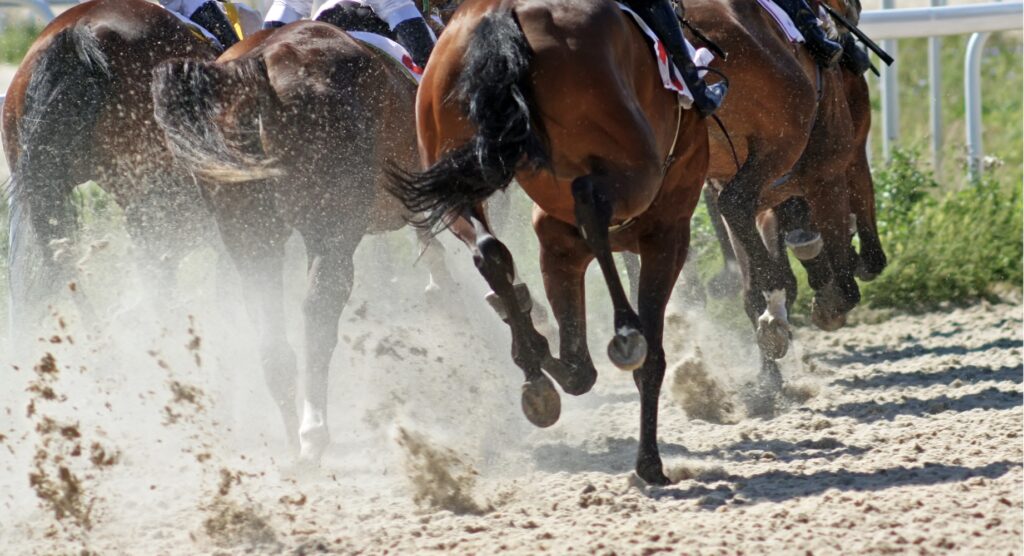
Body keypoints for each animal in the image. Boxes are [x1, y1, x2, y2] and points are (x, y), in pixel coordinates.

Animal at [149, 20, 454, 460]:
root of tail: (255, 71)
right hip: (331, 230)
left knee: (268, 322)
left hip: (250, 235)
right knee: (318, 310)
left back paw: (293, 436)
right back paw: (313, 431)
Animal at [391, 0, 712, 483]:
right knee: (590, 201)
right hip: (635, 168)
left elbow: (579, 369)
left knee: (489, 249)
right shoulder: (668, 232)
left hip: (452, 166)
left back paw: (530, 358)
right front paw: (650, 463)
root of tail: (498, 13)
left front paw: (532, 345)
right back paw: (624, 331)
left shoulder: (557, 243)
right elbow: (648, 359)